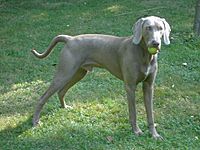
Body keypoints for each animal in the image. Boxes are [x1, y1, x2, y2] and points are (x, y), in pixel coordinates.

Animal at [31, 15, 170, 139]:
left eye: (160, 28)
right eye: (148, 28)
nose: (155, 43)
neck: (144, 54)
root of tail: (70, 39)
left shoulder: (149, 86)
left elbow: (150, 113)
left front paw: (154, 134)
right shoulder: (130, 86)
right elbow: (133, 112)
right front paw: (136, 131)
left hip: (78, 73)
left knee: (61, 91)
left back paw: (64, 107)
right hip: (64, 73)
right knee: (43, 97)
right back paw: (35, 121)